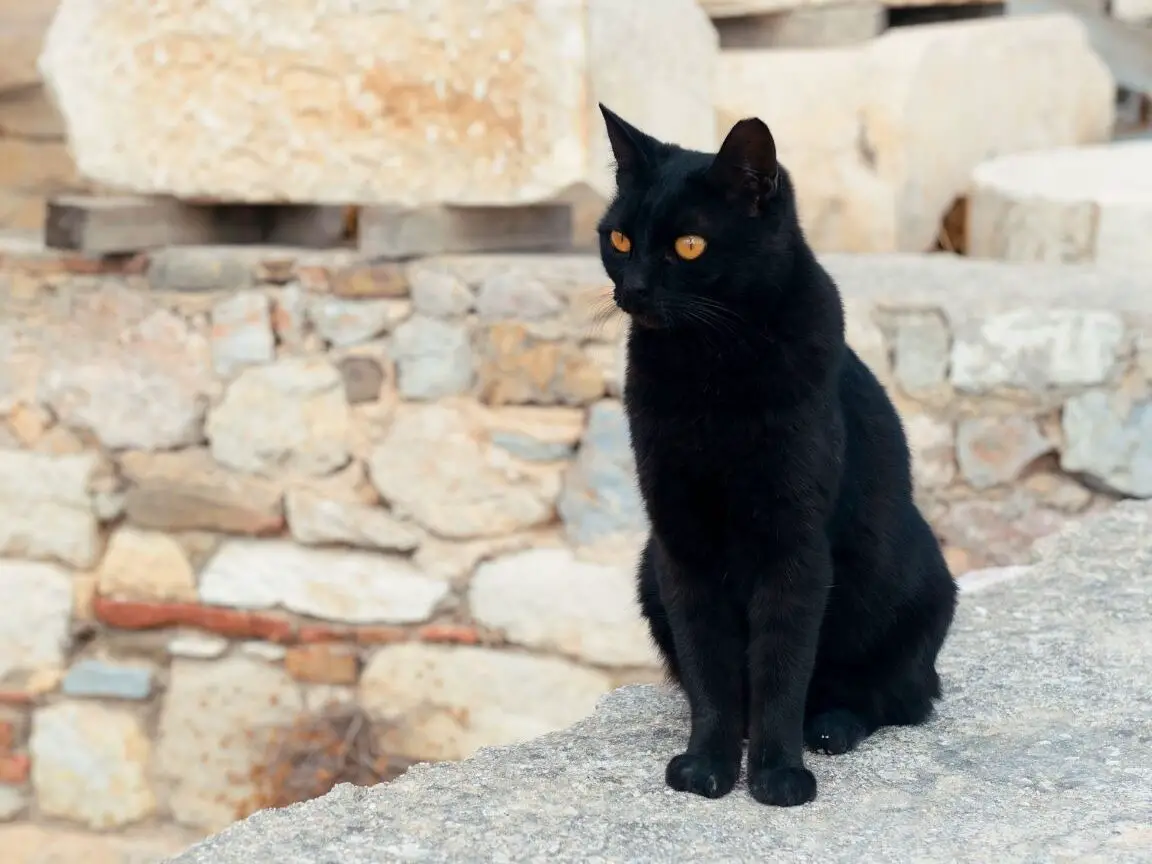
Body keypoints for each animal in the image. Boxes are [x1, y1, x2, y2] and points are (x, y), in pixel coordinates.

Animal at [599, 104, 958, 811]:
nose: (634, 289)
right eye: (619, 240)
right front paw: (707, 765)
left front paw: (777, 776)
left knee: (894, 697)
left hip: (921, 587)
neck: (707, 374)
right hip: (647, 571)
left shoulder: (794, 544)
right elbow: (709, 668)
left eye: (689, 245)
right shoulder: (679, 543)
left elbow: (782, 666)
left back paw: (829, 728)